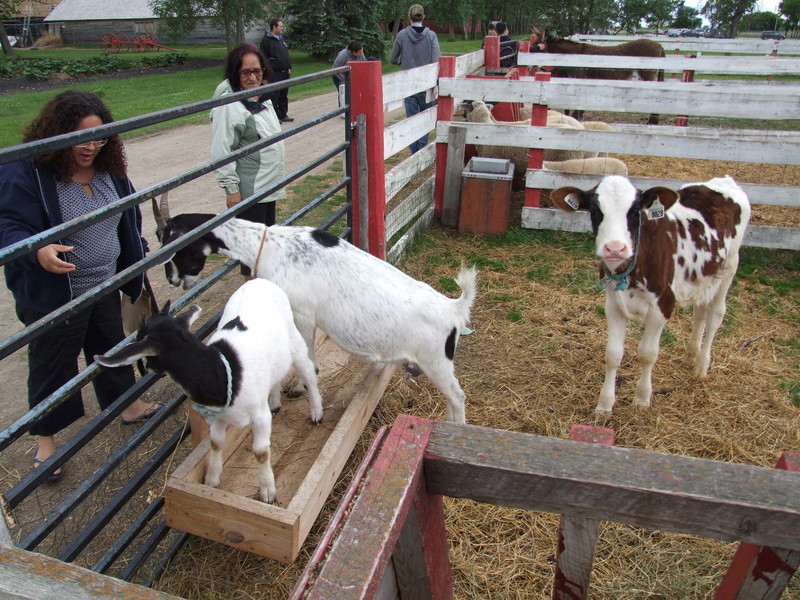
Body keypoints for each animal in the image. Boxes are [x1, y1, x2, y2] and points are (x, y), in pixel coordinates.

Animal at [96, 278, 324, 504]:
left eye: (142, 343)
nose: (146, 368)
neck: (223, 370)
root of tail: (259, 280)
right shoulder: (218, 416)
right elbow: (215, 443)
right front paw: (212, 479)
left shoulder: (259, 416)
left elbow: (261, 452)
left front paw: (268, 491)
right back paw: (275, 402)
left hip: (295, 339)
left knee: (308, 374)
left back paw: (316, 412)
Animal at [152, 199, 476, 424]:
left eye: (173, 245)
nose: (171, 280)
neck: (268, 246)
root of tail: (453, 310)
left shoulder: (301, 313)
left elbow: (305, 351)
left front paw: (299, 387)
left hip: (436, 361)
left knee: (458, 396)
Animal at [552, 176, 752, 414]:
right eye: (594, 209)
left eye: (635, 210)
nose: (615, 248)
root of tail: (723, 181)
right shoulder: (613, 305)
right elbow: (613, 354)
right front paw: (605, 404)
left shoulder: (662, 306)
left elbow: (647, 353)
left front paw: (642, 398)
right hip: (703, 275)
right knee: (699, 312)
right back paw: (690, 355)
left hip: (730, 266)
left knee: (715, 314)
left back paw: (701, 366)